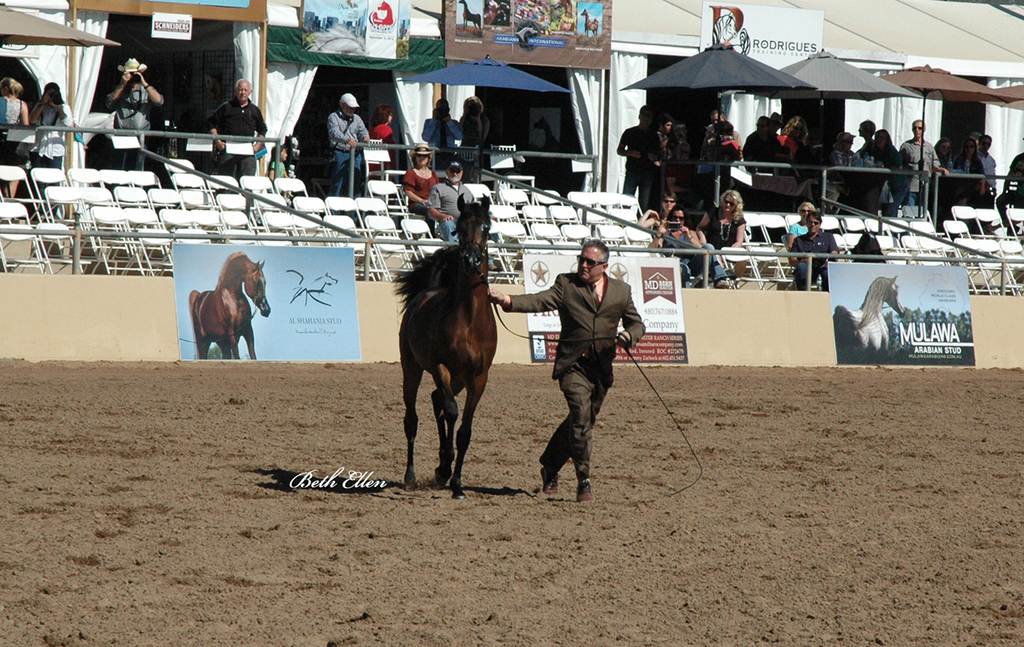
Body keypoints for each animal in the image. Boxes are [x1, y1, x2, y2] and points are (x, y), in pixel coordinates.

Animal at [395, 196, 496, 499]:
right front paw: (447, 468)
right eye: (459, 228)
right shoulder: (441, 366)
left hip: (459, 379)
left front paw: (457, 483)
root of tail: (424, 294)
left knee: (435, 399)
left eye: (486, 227)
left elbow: (464, 431)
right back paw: (412, 475)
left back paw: (443, 468)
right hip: (412, 369)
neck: (471, 320)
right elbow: (451, 411)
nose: (471, 259)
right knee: (413, 418)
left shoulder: (478, 377)